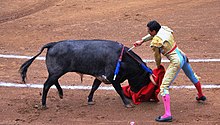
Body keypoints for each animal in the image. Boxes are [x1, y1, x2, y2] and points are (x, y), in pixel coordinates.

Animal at [19, 39, 152, 107]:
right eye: (144, 79)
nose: (134, 91)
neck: (122, 58)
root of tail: (52, 44)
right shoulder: (112, 78)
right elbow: (119, 90)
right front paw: (128, 103)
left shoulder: (100, 76)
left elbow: (94, 87)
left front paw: (90, 100)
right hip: (56, 72)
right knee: (47, 85)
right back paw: (44, 104)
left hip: (55, 72)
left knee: (53, 82)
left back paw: (61, 94)